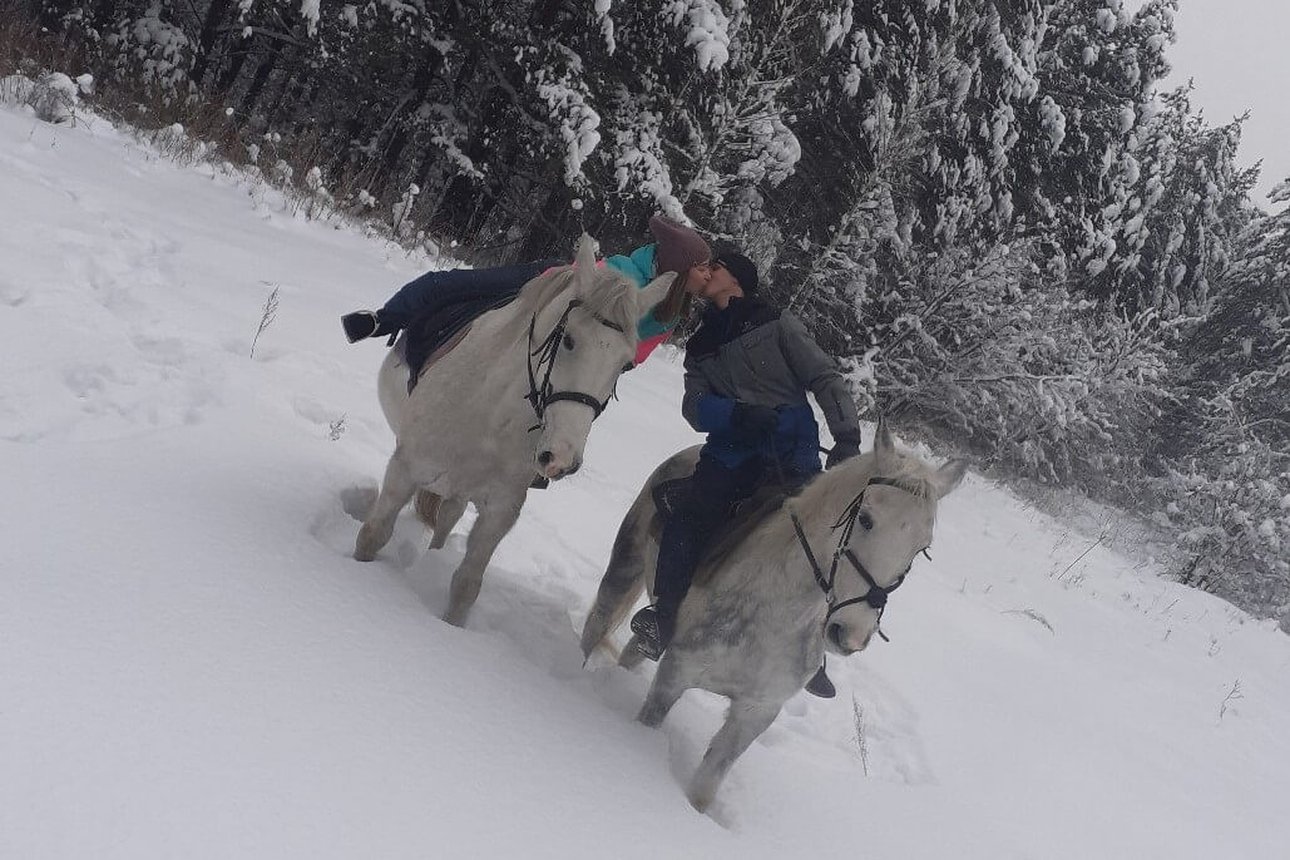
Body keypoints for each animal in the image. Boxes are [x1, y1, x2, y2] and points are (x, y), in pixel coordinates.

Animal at [353, 235, 675, 626]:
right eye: (568, 339)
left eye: (625, 364)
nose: (561, 457)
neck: (490, 415)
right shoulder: (405, 469)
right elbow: (373, 535)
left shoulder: (501, 511)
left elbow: (466, 585)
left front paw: (450, 627)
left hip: (461, 489)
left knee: (448, 519)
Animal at [580, 422, 964, 814]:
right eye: (866, 519)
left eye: (921, 547)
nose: (850, 635)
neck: (776, 610)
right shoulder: (676, 674)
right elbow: (651, 720)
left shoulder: (758, 711)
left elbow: (706, 786)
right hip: (624, 569)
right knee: (595, 627)